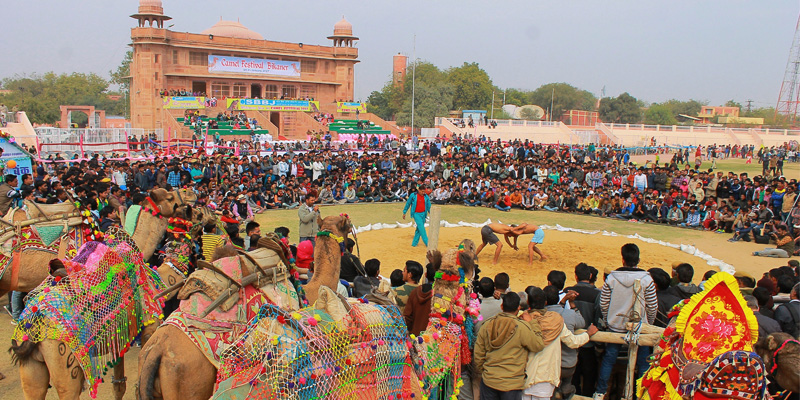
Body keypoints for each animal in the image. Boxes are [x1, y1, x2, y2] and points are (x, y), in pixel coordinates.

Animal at [9, 228, 166, 400]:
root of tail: (33, 324)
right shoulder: (149, 327)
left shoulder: (119, 337)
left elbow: (119, 384)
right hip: (65, 363)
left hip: (30, 369)